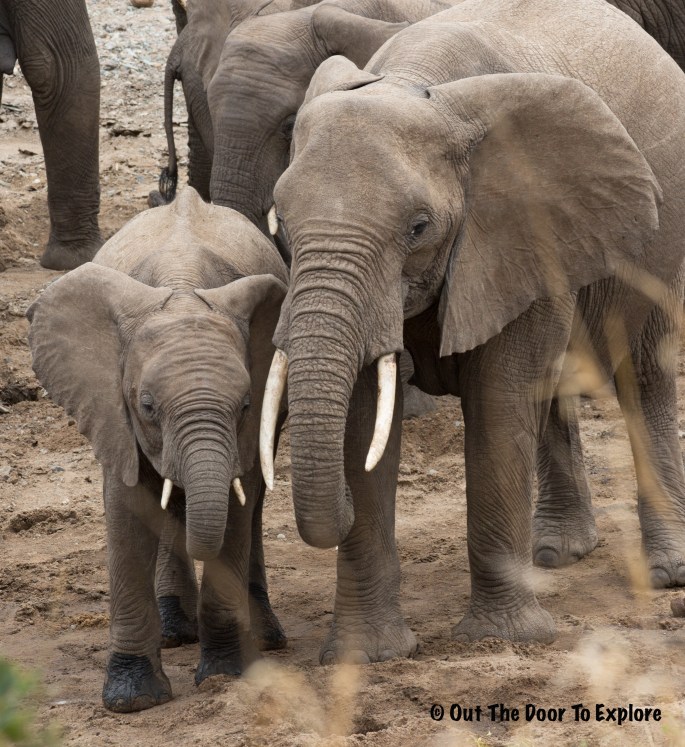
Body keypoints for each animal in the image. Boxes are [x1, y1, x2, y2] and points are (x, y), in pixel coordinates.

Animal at [28, 187, 289, 712]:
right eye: (147, 406)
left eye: (246, 405)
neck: (183, 288)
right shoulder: (113, 408)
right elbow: (129, 508)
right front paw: (132, 700)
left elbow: (236, 507)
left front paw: (225, 676)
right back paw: (175, 632)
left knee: (248, 508)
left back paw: (263, 638)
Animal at [259, 0, 685, 663]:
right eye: (280, 223)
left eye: (418, 228)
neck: (416, 86)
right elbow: (364, 417)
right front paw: (364, 656)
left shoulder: (525, 220)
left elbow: (499, 402)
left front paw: (500, 639)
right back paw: (557, 554)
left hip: (657, 243)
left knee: (642, 373)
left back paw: (666, 573)